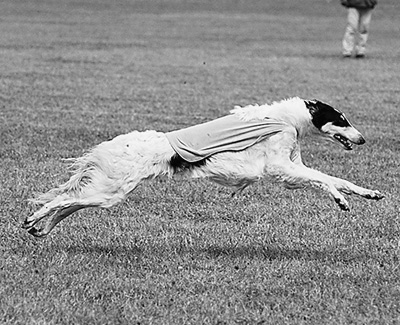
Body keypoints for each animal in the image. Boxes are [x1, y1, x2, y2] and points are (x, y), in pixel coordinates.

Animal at [22, 96, 384, 235]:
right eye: (341, 119)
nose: (363, 139)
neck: (286, 119)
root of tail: (113, 143)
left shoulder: (292, 166)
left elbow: (336, 178)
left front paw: (369, 193)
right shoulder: (281, 167)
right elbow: (324, 179)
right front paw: (340, 199)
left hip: (108, 191)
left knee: (68, 204)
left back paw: (41, 228)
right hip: (110, 189)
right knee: (61, 201)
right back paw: (33, 219)